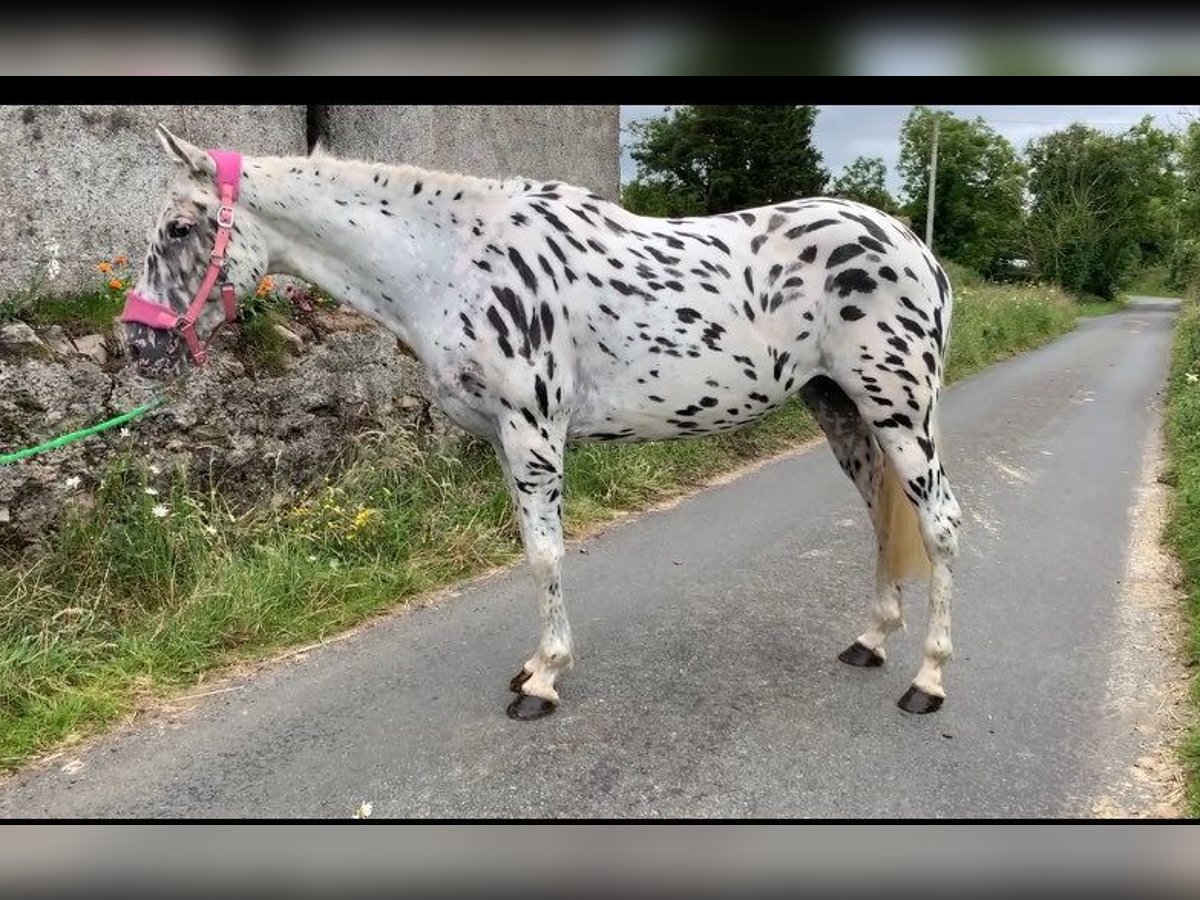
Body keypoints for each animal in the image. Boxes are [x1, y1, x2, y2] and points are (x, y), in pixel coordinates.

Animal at [121, 125, 964, 720]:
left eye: (178, 228)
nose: (137, 342)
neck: (453, 262)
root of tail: (916, 245)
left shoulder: (533, 432)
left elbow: (547, 556)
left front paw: (544, 682)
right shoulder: (504, 439)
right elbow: (533, 553)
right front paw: (535, 666)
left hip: (901, 409)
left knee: (940, 524)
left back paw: (926, 681)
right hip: (840, 407)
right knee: (881, 515)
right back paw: (870, 641)